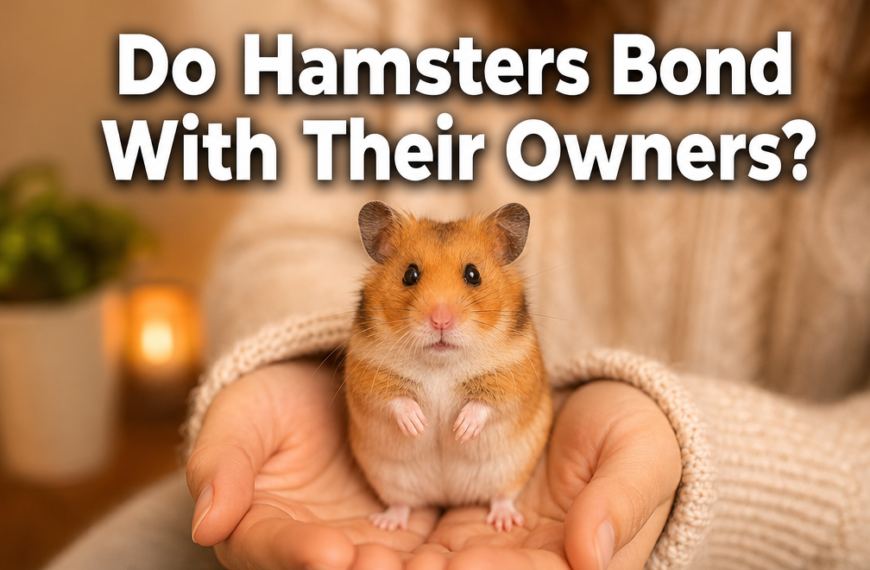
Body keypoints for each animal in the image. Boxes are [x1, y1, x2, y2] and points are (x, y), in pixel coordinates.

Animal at [344, 201, 553, 532]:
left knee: (502, 496)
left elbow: (486, 404)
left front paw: (460, 430)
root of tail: (449, 498)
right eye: (410, 274)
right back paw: (386, 523)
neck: (441, 362)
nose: (440, 320)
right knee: (401, 503)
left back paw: (505, 521)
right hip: (391, 479)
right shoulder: (366, 372)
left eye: (473, 274)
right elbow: (394, 400)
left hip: (511, 470)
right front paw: (418, 426)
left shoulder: (515, 375)